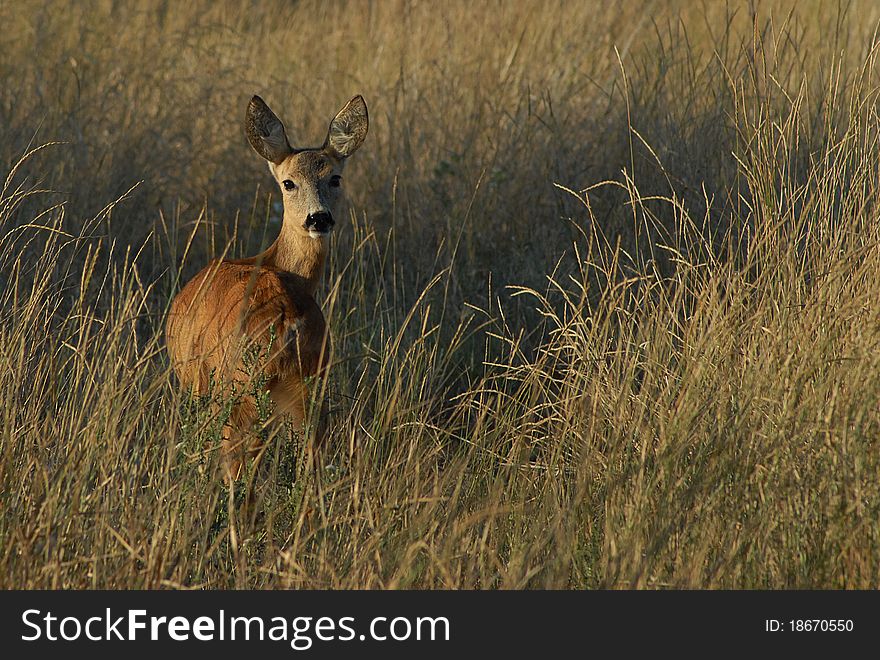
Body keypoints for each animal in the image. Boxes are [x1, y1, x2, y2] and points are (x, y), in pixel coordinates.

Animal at [165, 94, 368, 480]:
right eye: (289, 183)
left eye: (335, 178)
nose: (319, 218)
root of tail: (287, 319)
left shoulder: (199, 384)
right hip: (309, 386)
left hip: (239, 388)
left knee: (237, 467)